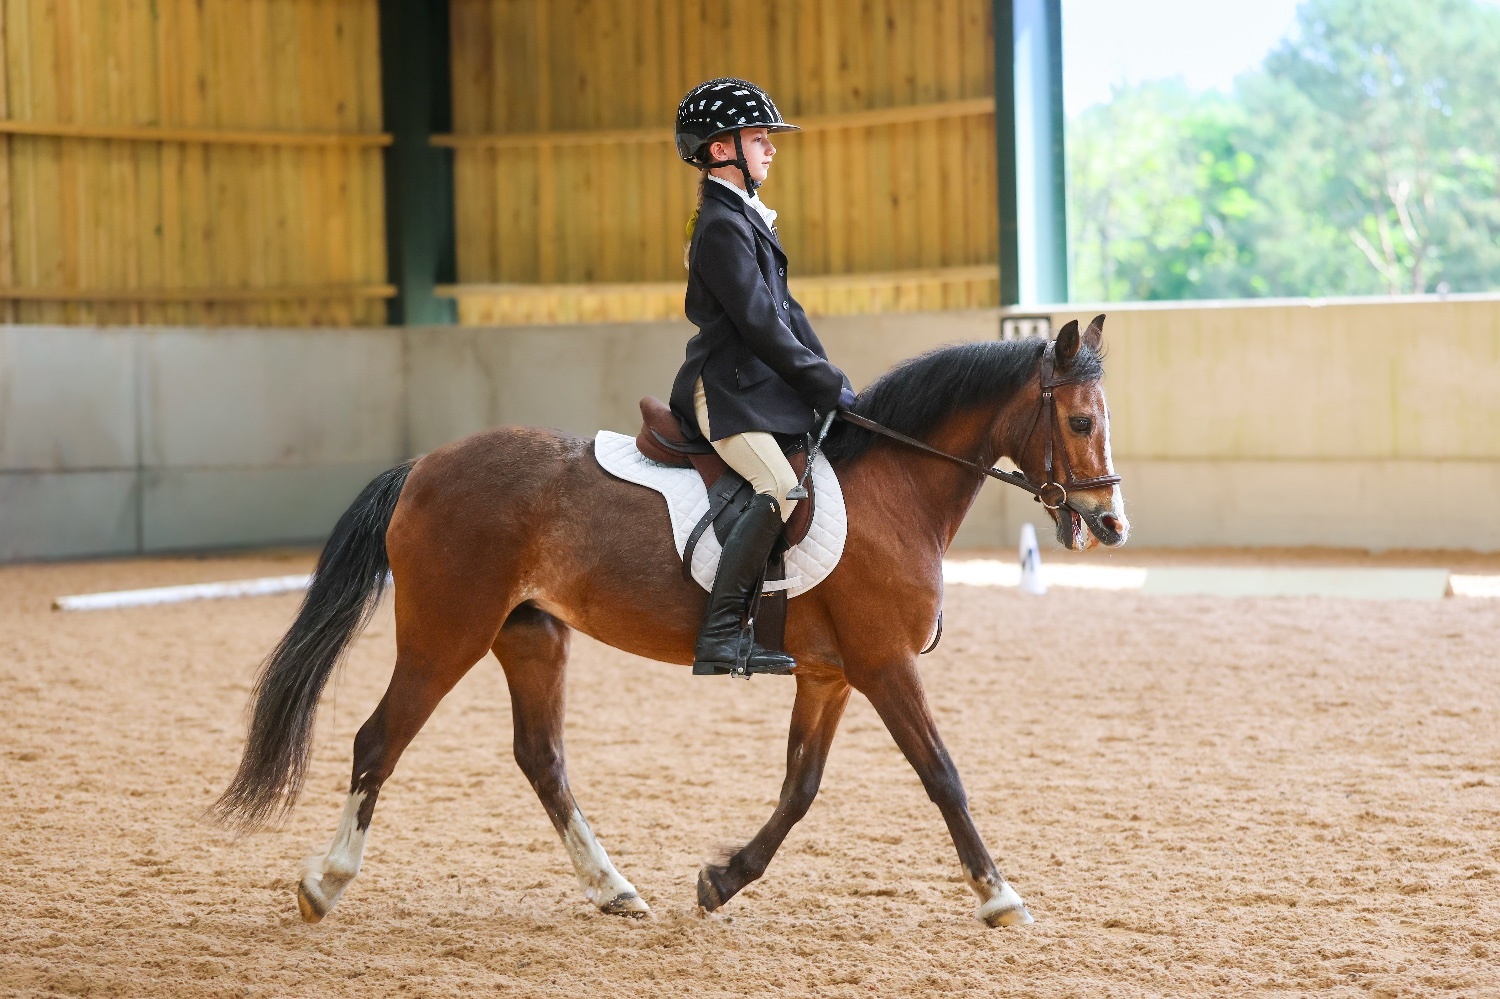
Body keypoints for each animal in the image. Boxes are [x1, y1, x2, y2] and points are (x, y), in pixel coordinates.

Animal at [212, 315, 1129, 928]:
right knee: (380, 738)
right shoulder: (884, 664)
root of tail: (422, 467)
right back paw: (324, 882)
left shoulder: (832, 674)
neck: (896, 487)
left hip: (531, 636)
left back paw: (614, 889)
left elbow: (800, 786)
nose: (1111, 525)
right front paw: (1001, 895)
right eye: (1081, 421)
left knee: (541, 758)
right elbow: (943, 774)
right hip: (447, 632)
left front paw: (723, 878)